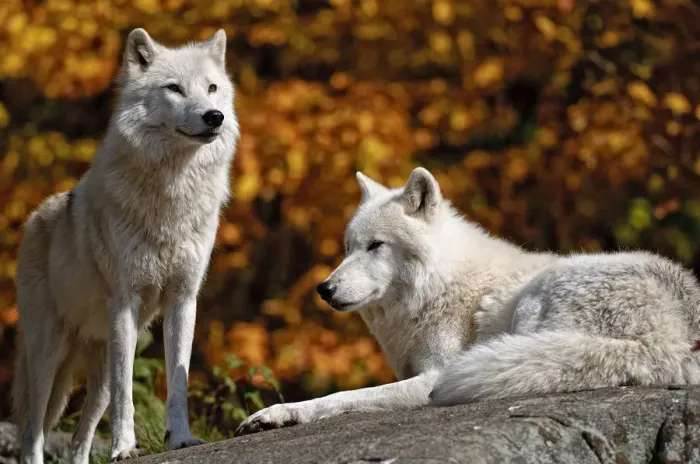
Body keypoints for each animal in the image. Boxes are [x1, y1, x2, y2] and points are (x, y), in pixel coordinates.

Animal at [12, 28, 239, 463]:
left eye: (212, 88)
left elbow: (178, 382)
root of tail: (34, 217)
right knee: (33, 432)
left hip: (98, 367)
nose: (213, 116)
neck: (171, 196)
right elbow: (126, 394)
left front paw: (181, 439)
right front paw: (123, 448)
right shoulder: (125, 302)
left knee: (79, 439)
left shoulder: (183, 300)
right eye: (174, 88)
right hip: (49, 357)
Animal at [236, 166, 700, 435]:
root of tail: (670, 341)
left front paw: (279, 413)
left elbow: (344, 397)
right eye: (349, 247)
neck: (437, 286)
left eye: (376, 246)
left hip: (534, 302)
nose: (324, 288)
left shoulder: (432, 375)